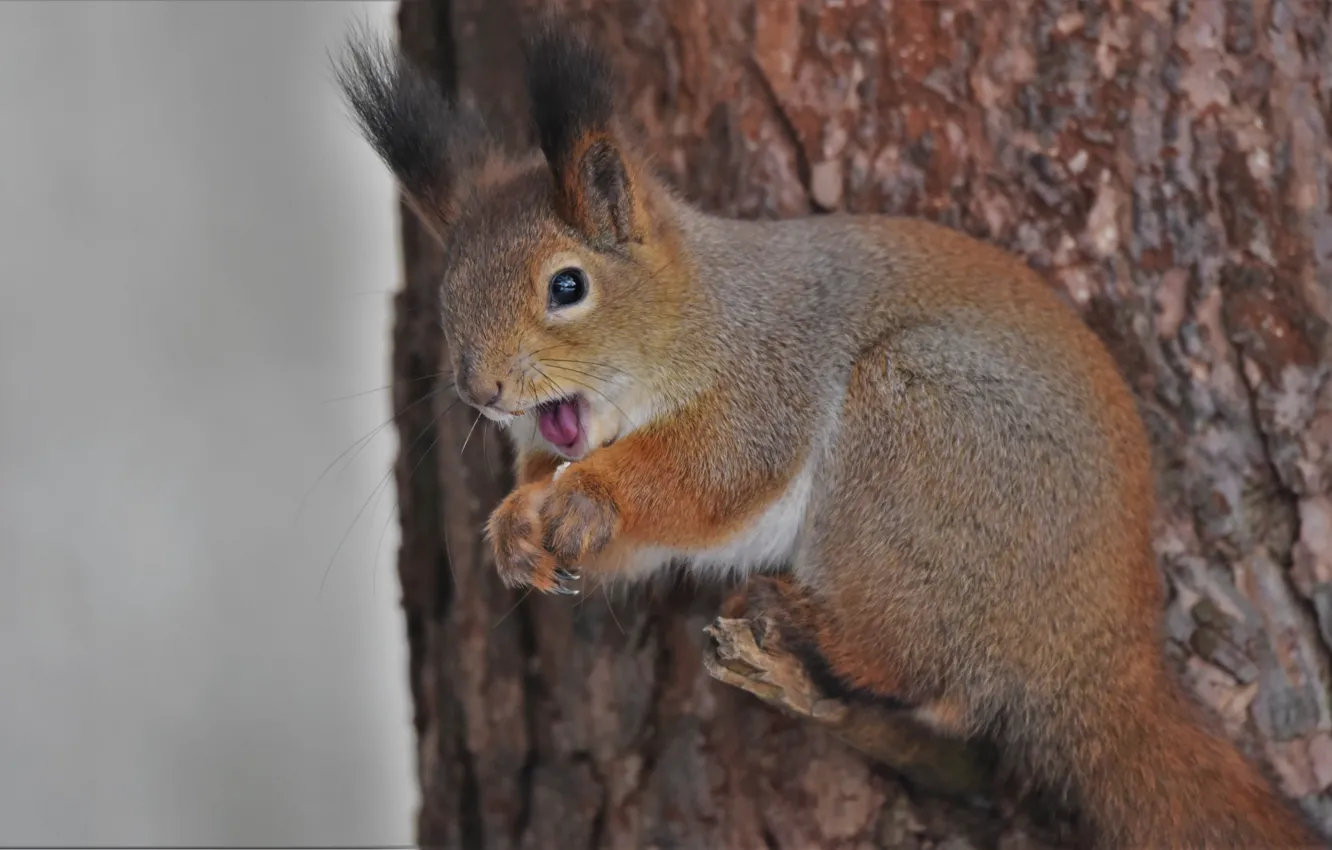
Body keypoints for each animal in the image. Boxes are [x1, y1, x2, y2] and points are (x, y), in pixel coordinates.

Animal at [338, 14, 1326, 850]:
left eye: (568, 286)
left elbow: (710, 474)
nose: (480, 388)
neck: (698, 314)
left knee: (918, 663)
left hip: (919, 428)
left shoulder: (767, 380)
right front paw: (515, 526)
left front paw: (590, 496)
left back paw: (808, 624)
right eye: (447, 292)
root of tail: (1103, 649)